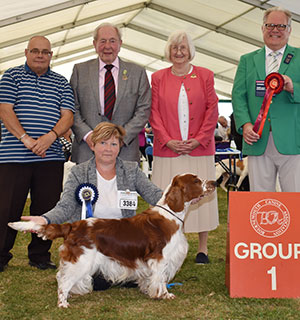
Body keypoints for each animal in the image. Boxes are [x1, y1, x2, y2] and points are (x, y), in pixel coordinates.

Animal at [8, 174, 216, 308]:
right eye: (196, 180)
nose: (214, 182)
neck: (171, 215)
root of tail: (72, 226)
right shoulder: (160, 259)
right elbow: (161, 279)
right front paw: (164, 295)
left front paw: (147, 290)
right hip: (82, 261)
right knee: (64, 280)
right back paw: (63, 303)